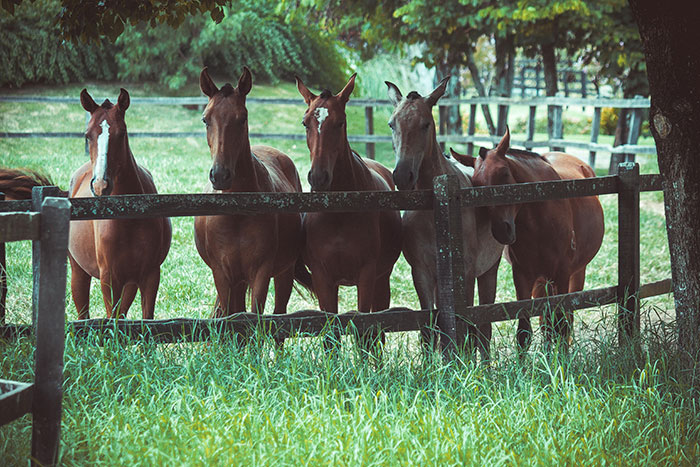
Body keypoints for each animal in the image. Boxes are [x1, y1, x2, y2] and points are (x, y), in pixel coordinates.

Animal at [69, 88, 172, 320]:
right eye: (87, 135)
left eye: (122, 133)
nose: (100, 185)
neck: (130, 216)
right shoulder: (109, 278)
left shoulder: (150, 275)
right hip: (79, 272)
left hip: (130, 283)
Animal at [194, 66, 308, 322]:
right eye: (206, 119)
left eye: (242, 118)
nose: (220, 175)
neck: (237, 213)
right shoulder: (223, 274)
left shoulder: (261, 272)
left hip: (283, 272)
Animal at [296, 74, 402, 344]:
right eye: (305, 123)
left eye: (340, 122)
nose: (319, 177)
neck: (339, 212)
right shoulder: (323, 278)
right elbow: (330, 336)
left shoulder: (367, 275)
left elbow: (365, 330)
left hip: (382, 279)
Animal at [382, 79, 504, 358]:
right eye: (392, 124)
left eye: (426, 124)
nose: (402, 176)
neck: (435, 210)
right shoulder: (422, 272)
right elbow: (429, 328)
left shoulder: (466, 273)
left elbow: (467, 328)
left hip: (489, 270)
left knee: (484, 326)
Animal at [452, 129, 604, 352]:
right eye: (476, 184)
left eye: (504, 174)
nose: (502, 231)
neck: (541, 221)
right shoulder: (523, 277)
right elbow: (524, 332)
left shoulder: (562, 274)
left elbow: (561, 325)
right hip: (542, 281)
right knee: (546, 322)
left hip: (576, 274)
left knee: (565, 320)